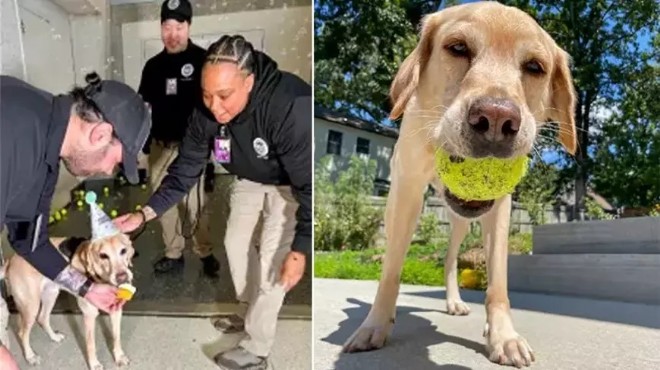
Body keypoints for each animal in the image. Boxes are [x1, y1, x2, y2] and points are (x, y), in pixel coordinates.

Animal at [1, 192, 137, 368]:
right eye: (103, 256)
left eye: (123, 251)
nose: (122, 277)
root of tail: (11, 260)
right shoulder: (89, 315)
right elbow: (91, 344)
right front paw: (94, 364)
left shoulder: (116, 311)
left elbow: (117, 337)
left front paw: (119, 356)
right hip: (30, 306)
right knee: (22, 332)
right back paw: (30, 356)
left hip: (50, 295)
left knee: (42, 318)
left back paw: (54, 337)